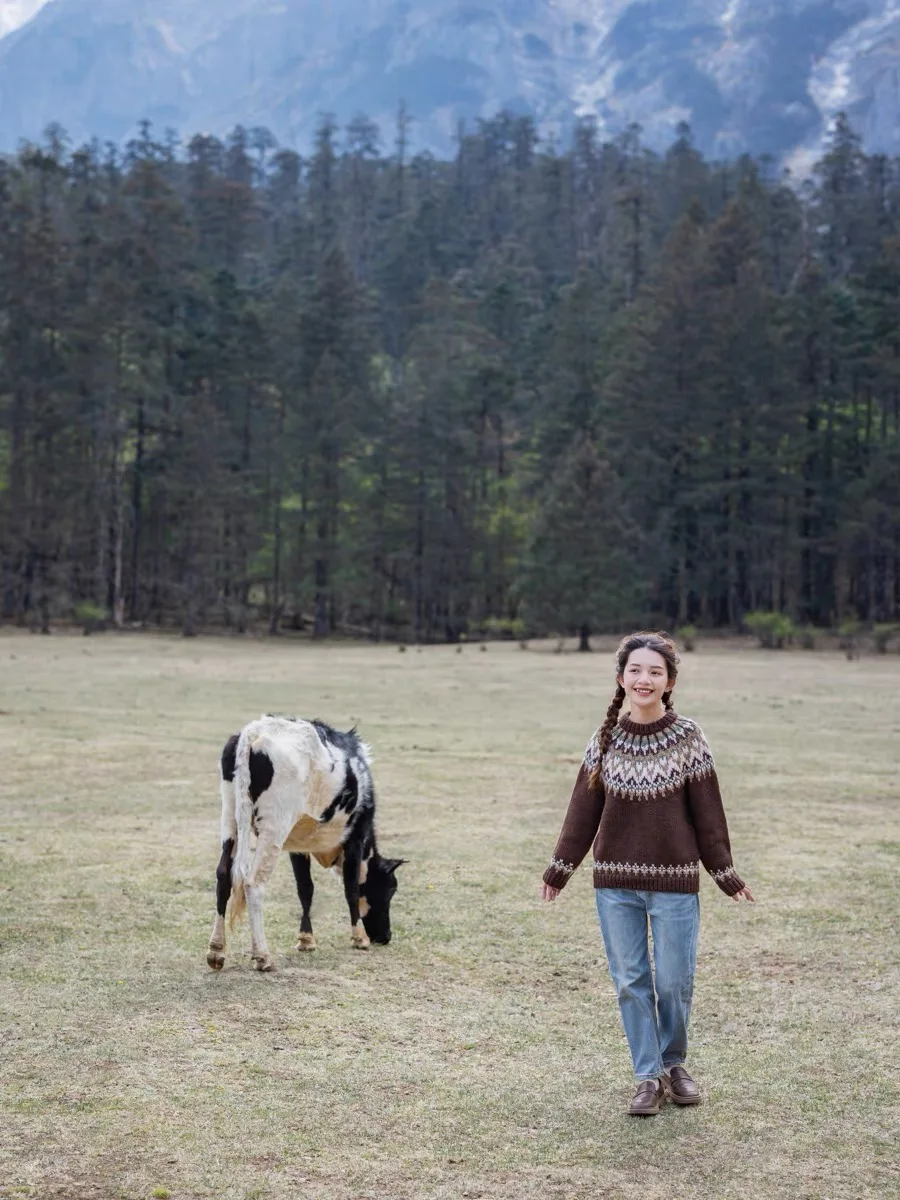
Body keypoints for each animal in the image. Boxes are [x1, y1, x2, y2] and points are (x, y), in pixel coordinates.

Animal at [207, 715, 405, 969]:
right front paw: (360, 938)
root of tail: (252, 733)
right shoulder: (355, 837)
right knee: (253, 883)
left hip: (230, 816)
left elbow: (305, 889)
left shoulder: (298, 847)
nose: (385, 936)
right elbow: (350, 888)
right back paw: (262, 955)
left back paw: (216, 951)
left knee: (224, 876)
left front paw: (306, 939)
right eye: (391, 887)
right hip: (274, 827)